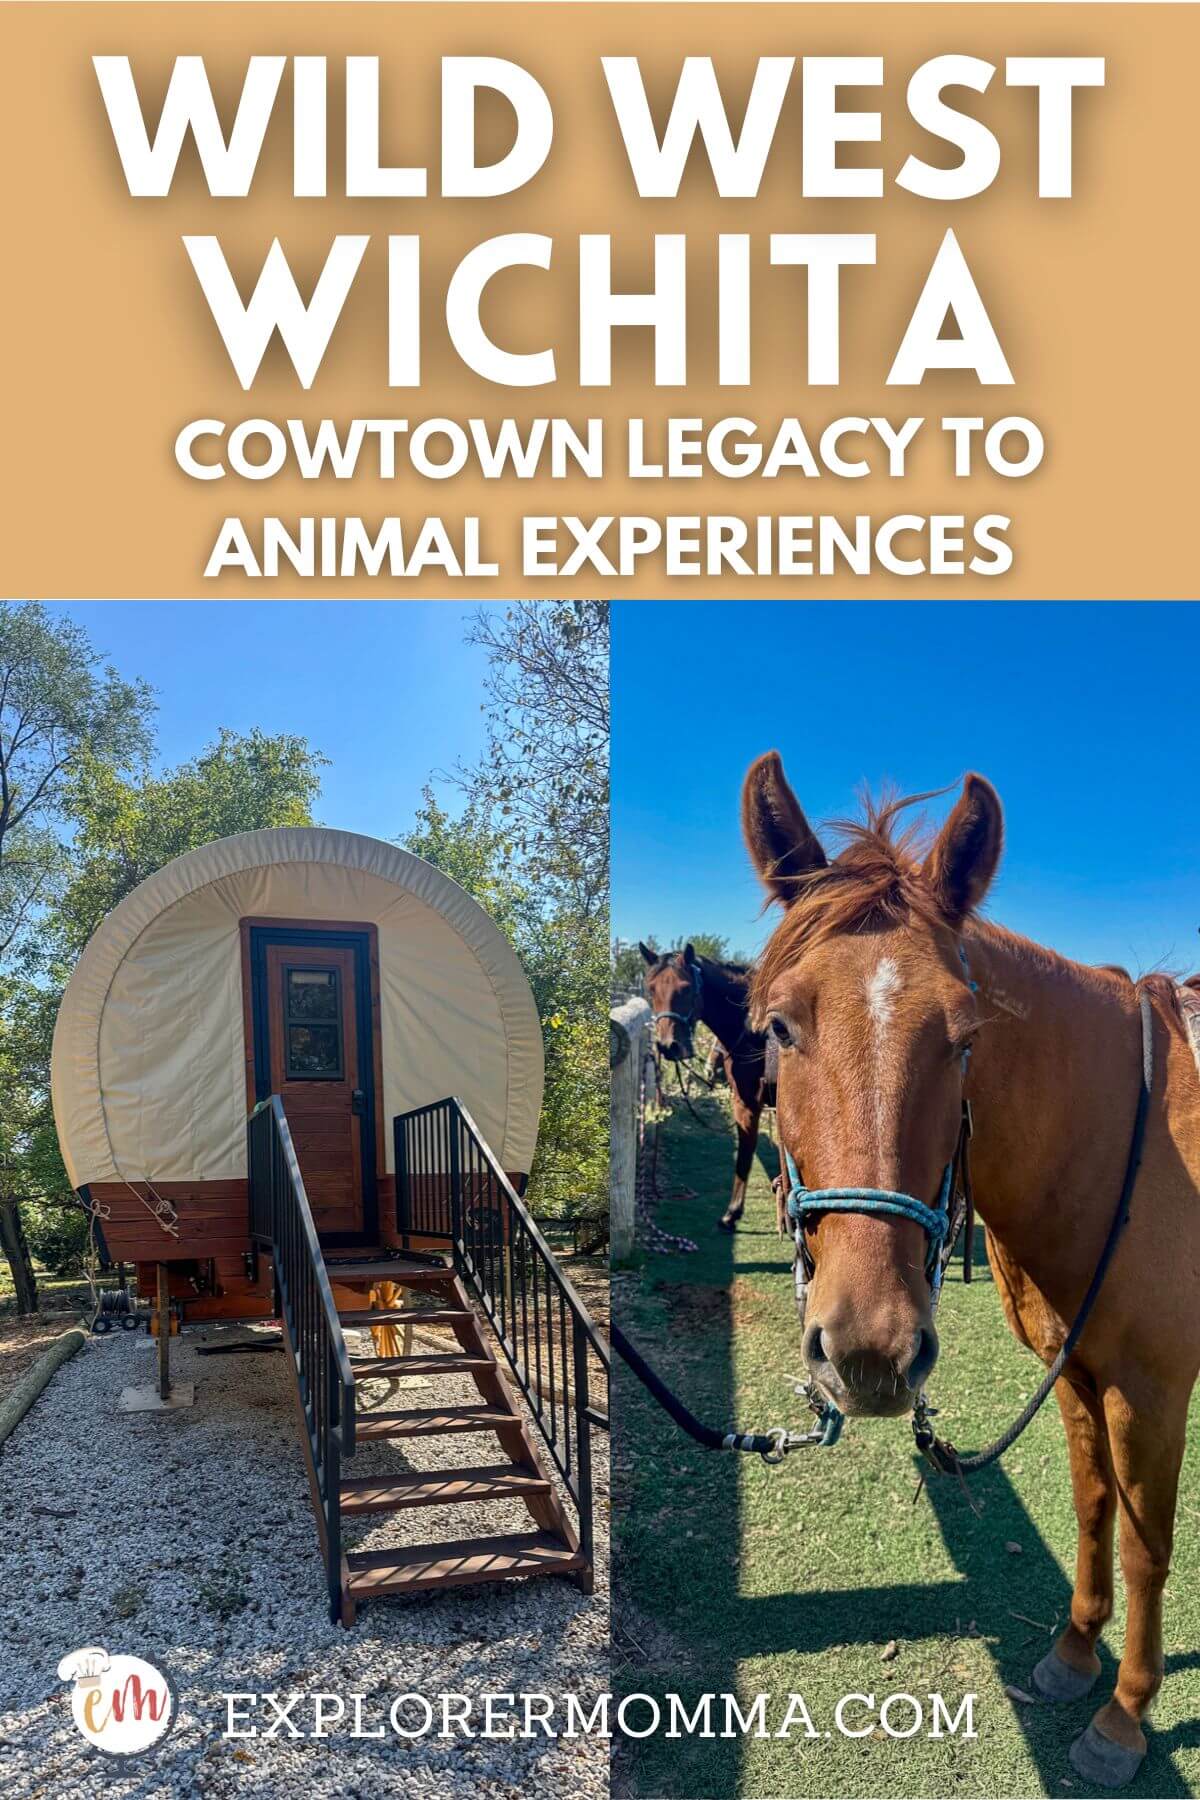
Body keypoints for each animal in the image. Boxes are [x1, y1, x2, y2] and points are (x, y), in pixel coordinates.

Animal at [639, 943, 784, 1233]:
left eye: (685, 988)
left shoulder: (747, 1102)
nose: (668, 1046)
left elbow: (744, 1157)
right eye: (651, 988)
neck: (756, 1034)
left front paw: (731, 1214)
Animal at [740, 749, 1200, 1790]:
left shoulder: (1151, 1392)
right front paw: (1074, 1656)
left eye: (964, 1037)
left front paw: (1124, 1718)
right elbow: (1092, 1508)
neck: (1133, 1145)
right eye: (779, 1027)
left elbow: (1146, 1546)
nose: (870, 1352)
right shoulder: (1078, 1375)